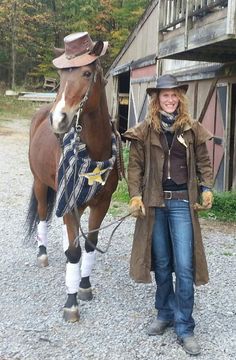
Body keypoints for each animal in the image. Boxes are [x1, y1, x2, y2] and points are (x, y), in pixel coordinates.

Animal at [25, 33, 120, 320]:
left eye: (87, 73)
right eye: (61, 75)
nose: (58, 119)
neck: (93, 154)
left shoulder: (101, 203)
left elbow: (89, 245)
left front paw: (84, 285)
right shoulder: (70, 202)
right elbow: (76, 251)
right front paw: (71, 301)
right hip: (40, 184)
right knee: (43, 216)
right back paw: (42, 254)